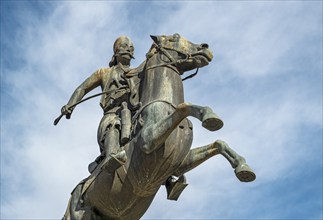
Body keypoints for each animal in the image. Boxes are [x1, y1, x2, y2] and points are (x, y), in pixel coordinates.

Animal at [62, 33, 256, 219]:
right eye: (174, 37)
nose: (205, 48)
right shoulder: (149, 140)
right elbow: (184, 107)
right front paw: (210, 117)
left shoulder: (180, 163)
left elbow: (218, 144)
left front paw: (243, 167)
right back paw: (112, 160)